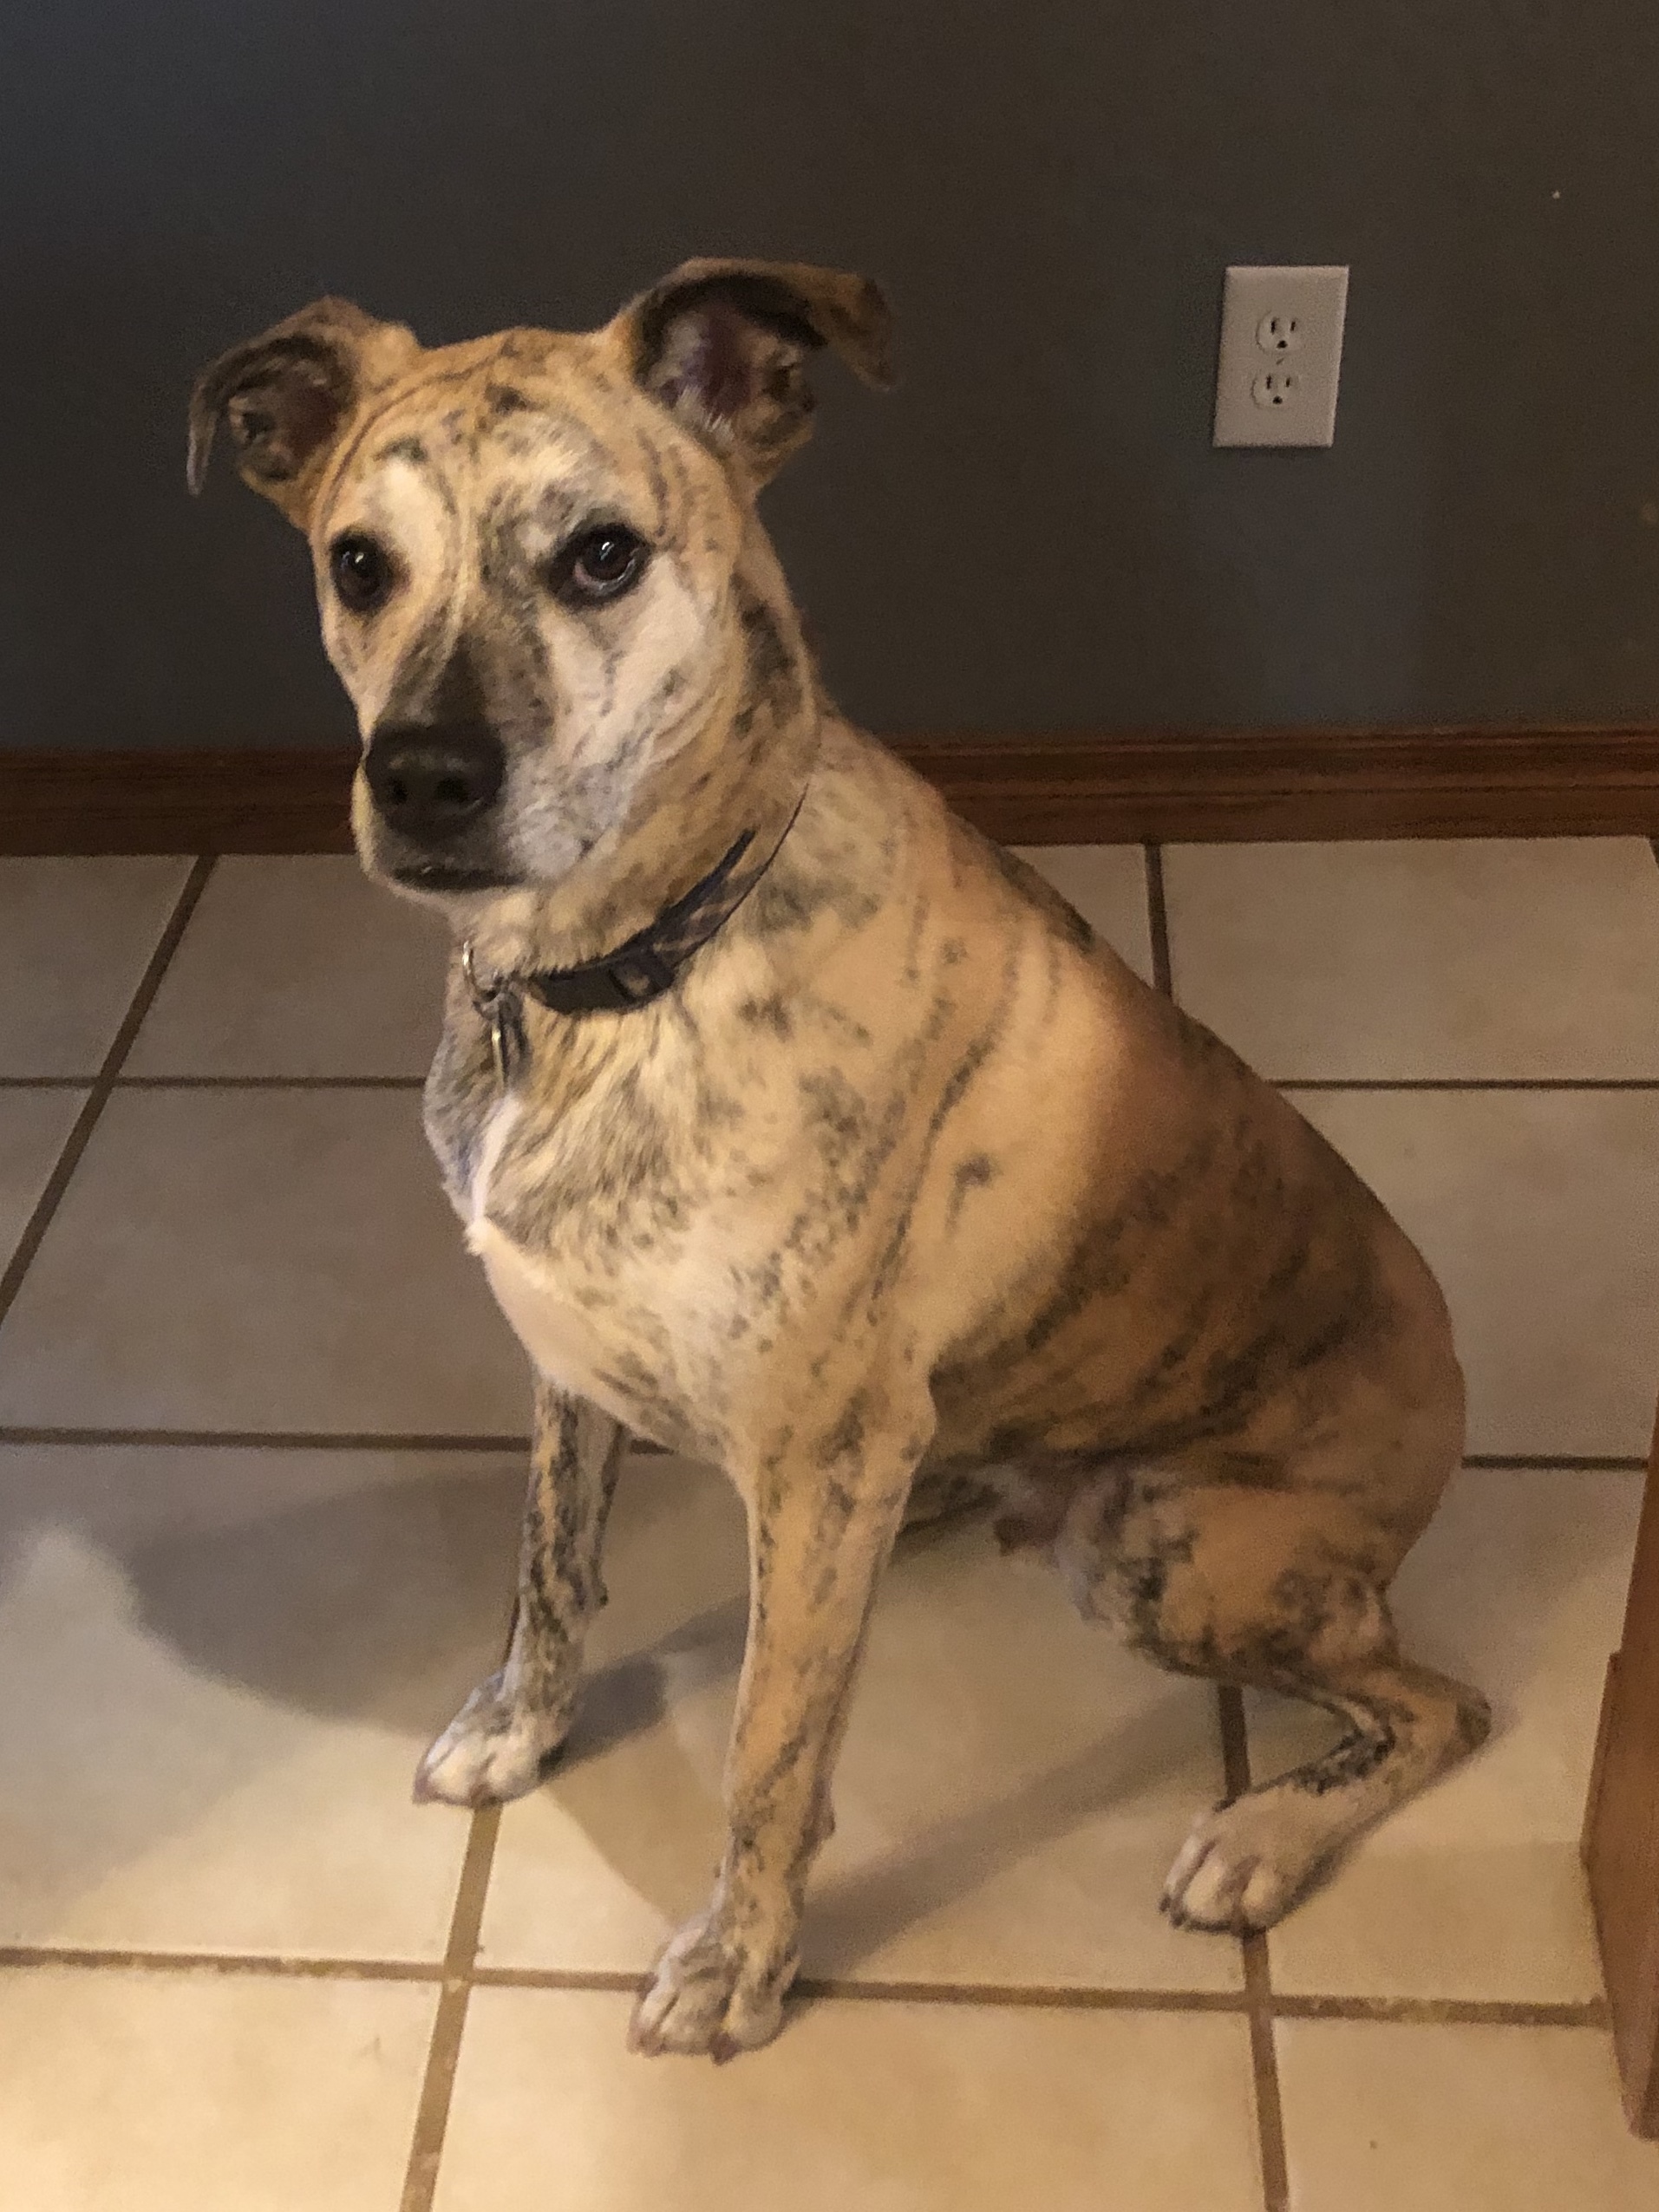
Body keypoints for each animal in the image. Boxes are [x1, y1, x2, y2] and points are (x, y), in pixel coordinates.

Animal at [191, 258, 1495, 2052]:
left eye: (602, 553)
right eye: (357, 564)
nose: (425, 780)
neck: (622, 976)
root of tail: (1450, 1400)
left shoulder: (813, 1466)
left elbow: (768, 1744)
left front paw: (737, 1966)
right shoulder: (571, 1367)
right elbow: (549, 1571)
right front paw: (522, 1729)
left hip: (1175, 1561)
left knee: (1439, 1706)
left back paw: (1260, 1835)